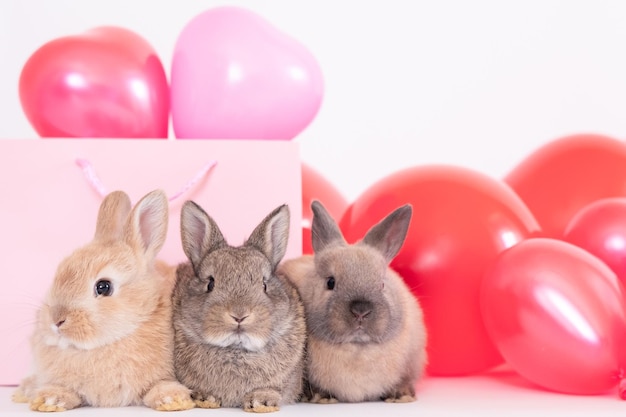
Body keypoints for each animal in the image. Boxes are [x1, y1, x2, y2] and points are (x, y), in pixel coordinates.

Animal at [11, 190, 193, 412]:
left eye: (104, 286)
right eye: (59, 272)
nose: (56, 320)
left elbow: (161, 384)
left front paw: (172, 399)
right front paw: (50, 399)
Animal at [171, 200, 304, 412]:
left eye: (264, 284)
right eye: (210, 283)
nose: (239, 315)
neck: (236, 349)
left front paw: (261, 401)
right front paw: (205, 398)